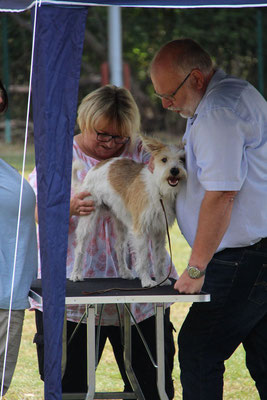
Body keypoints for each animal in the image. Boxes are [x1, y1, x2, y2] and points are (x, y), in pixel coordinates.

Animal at [70, 138, 187, 288]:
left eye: (182, 159)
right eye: (164, 159)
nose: (174, 170)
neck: (159, 189)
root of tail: (97, 166)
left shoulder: (159, 232)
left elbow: (159, 258)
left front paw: (161, 278)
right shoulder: (140, 231)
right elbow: (144, 259)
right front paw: (147, 281)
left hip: (121, 222)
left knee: (119, 247)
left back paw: (125, 272)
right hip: (88, 218)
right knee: (80, 248)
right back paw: (76, 274)